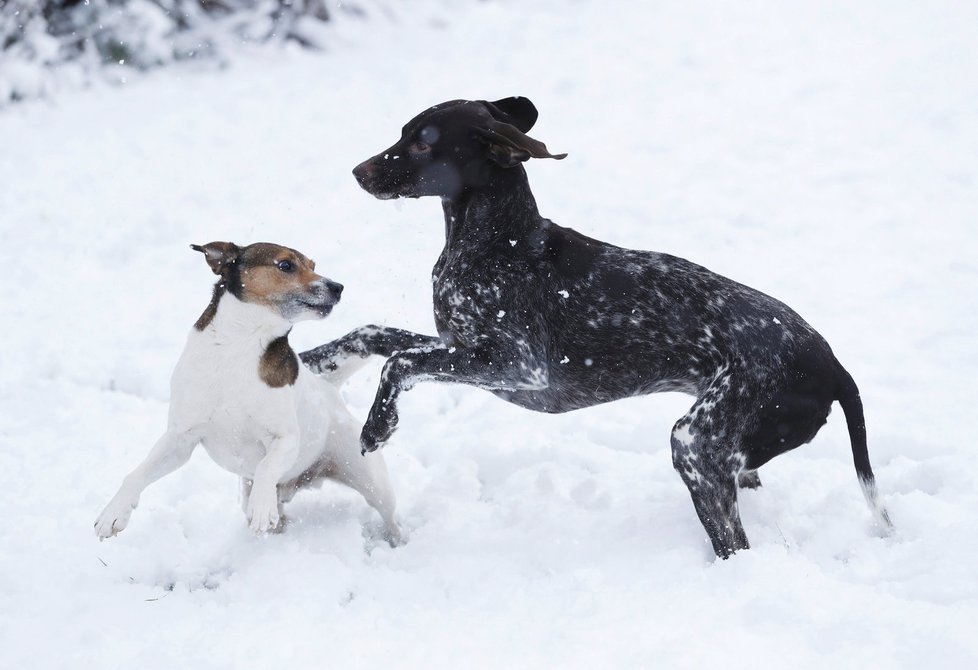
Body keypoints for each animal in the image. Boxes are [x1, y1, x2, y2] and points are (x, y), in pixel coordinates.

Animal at [95, 243, 400, 544]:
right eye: (286, 265)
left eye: (313, 266)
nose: (337, 287)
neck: (239, 345)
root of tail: (327, 387)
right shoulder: (180, 438)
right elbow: (136, 474)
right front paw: (113, 512)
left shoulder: (285, 438)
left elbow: (266, 467)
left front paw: (262, 508)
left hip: (369, 477)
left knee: (389, 513)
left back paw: (394, 538)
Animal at [304, 97, 892, 560]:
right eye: (404, 132)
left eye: (424, 143)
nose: (358, 171)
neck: (497, 239)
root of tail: (835, 366)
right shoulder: (461, 347)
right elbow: (374, 335)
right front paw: (315, 360)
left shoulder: (518, 366)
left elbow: (399, 362)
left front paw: (378, 425)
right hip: (728, 454)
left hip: (695, 446)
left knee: (734, 543)